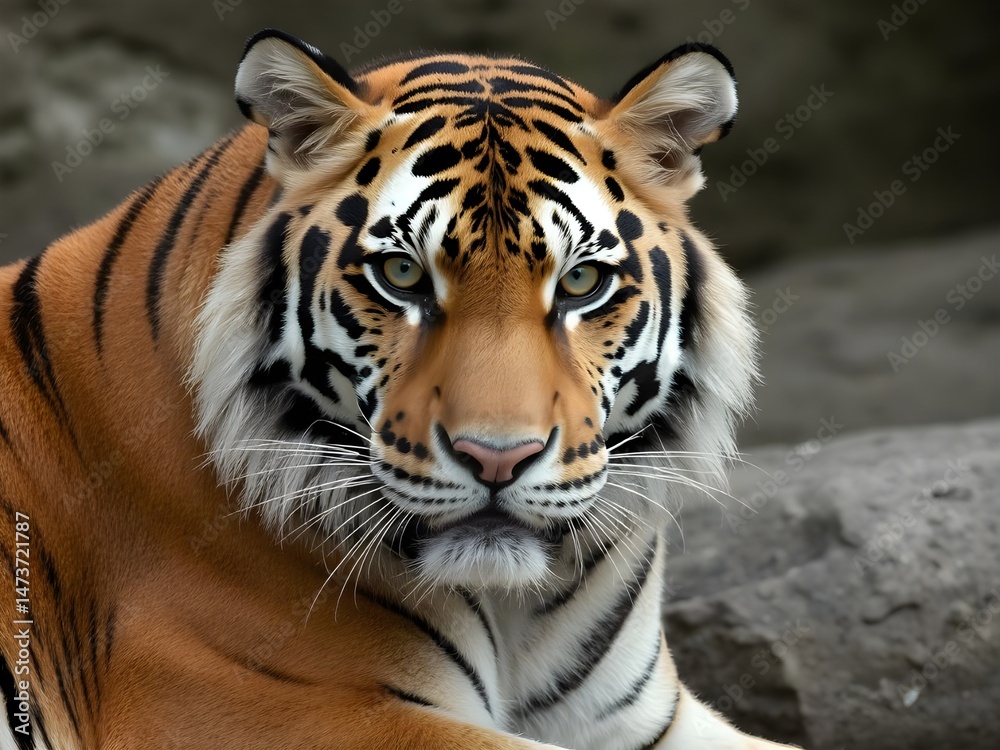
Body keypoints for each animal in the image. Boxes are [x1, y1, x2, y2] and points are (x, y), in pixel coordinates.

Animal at [0, 28, 798, 750]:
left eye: (580, 283)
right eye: (403, 274)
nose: (498, 459)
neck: (518, 608)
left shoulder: (636, 718)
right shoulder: (249, 704)